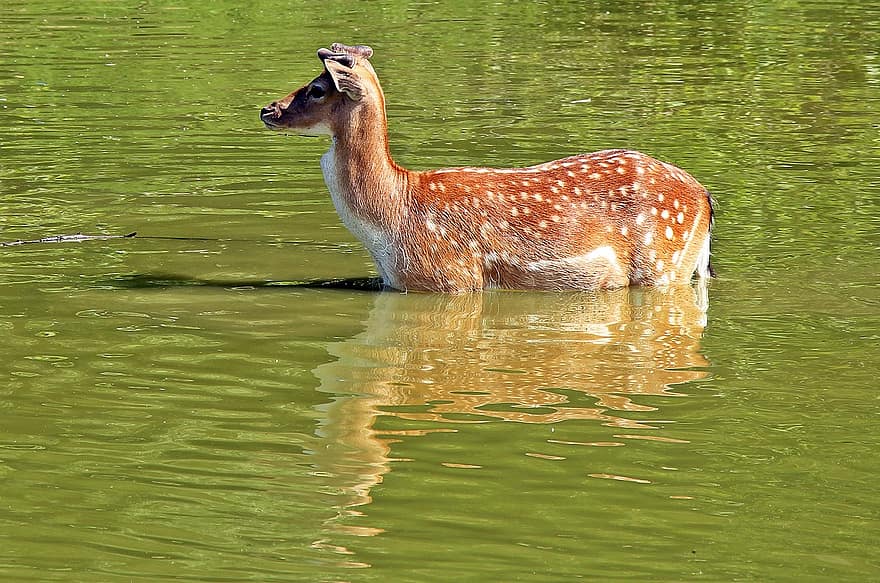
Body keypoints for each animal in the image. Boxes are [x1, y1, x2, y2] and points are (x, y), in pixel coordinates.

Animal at [258, 43, 712, 294]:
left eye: (318, 89)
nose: (268, 109)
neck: (390, 219)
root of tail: (706, 198)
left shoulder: (451, 280)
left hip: (661, 265)